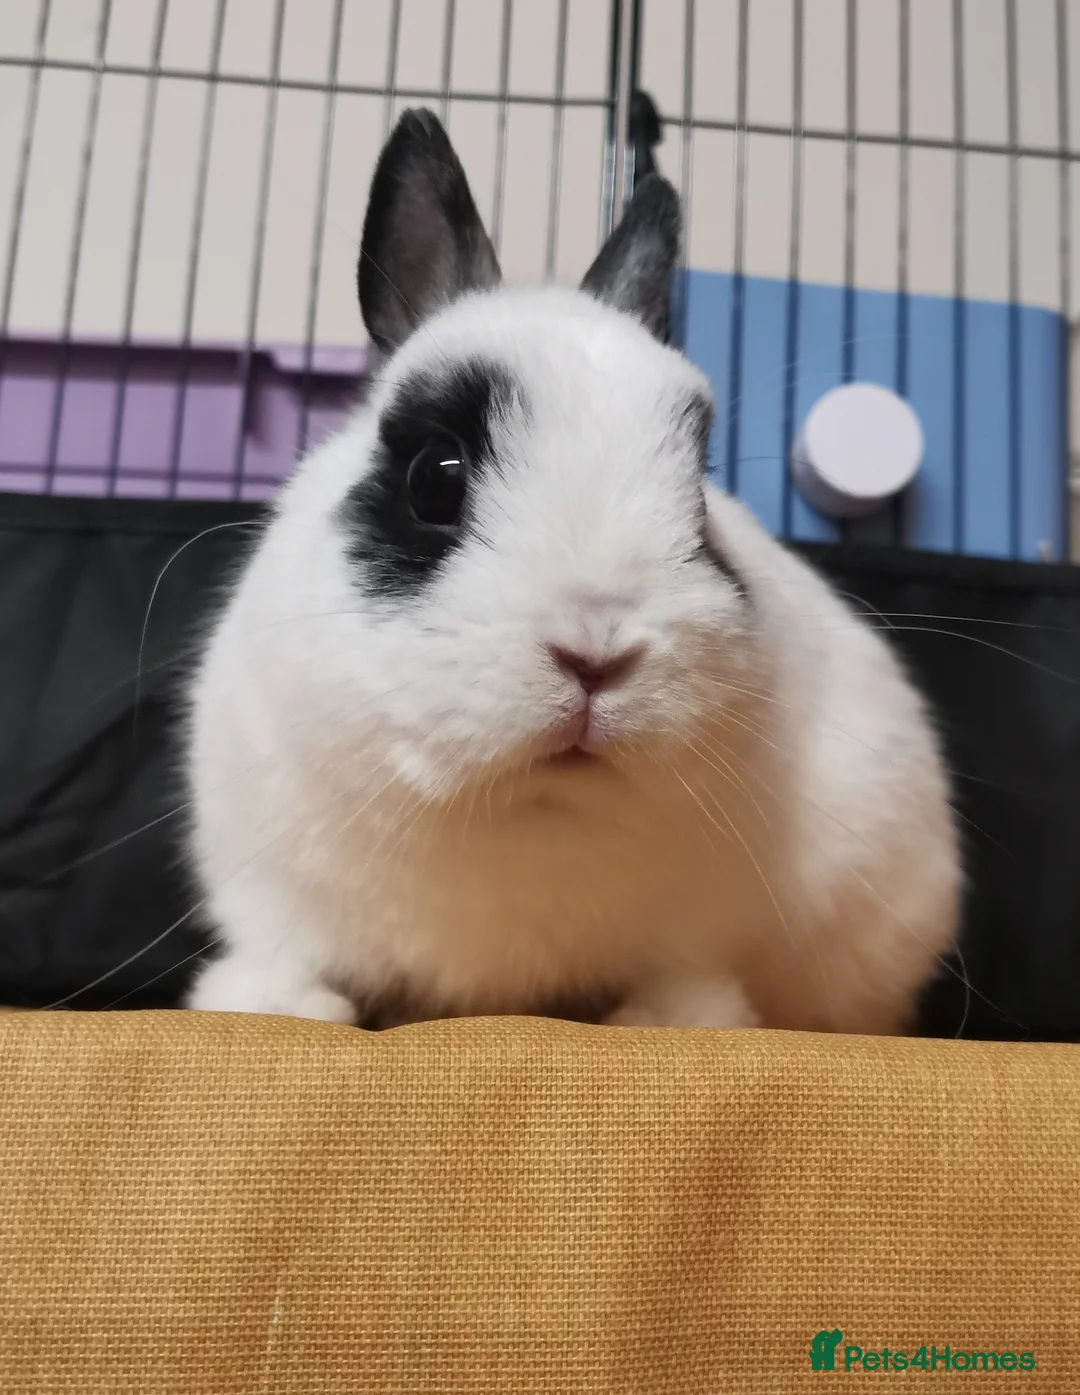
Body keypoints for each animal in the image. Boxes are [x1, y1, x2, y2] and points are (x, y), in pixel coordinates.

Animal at [185, 108, 959, 1034]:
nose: (596, 655)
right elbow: (286, 954)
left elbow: (690, 979)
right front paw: (275, 1005)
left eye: (700, 501)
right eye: (434, 477)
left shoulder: (703, 931)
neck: (527, 808)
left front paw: (665, 1022)